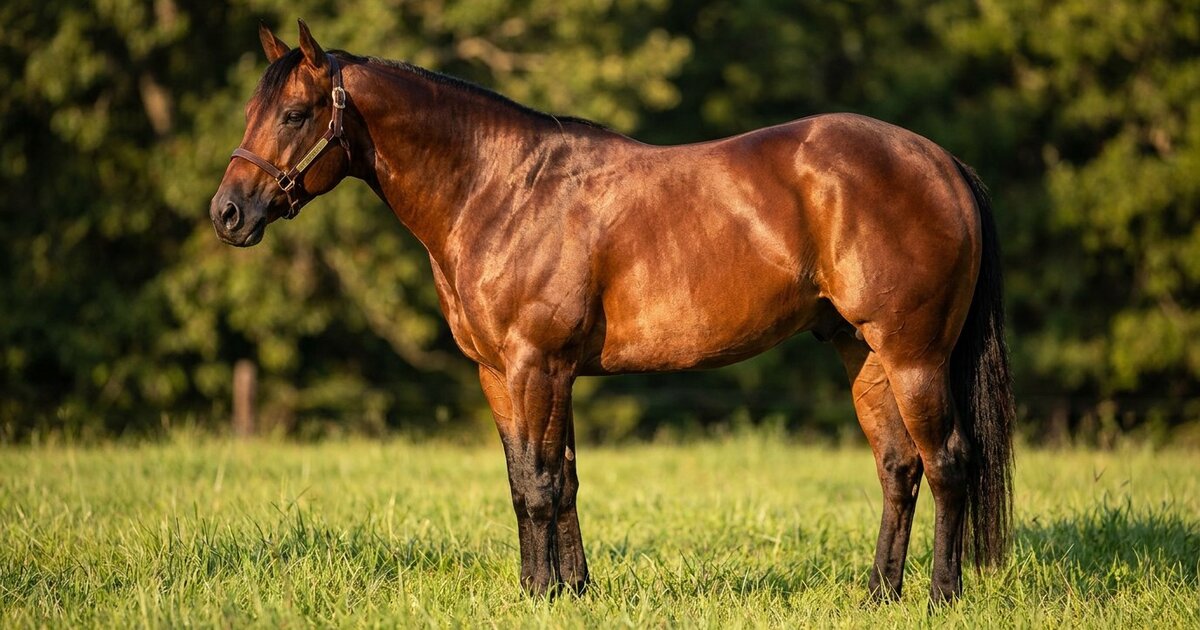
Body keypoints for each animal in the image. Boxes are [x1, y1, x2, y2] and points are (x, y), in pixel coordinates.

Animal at [210, 21, 1014, 603]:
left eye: (294, 113)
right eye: (249, 112)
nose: (227, 213)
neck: (501, 190)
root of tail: (942, 163)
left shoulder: (537, 366)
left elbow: (539, 486)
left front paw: (539, 595)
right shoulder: (509, 374)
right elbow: (545, 482)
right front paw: (570, 591)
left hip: (914, 356)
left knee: (948, 463)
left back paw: (941, 596)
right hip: (863, 353)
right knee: (898, 467)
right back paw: (880, 594)